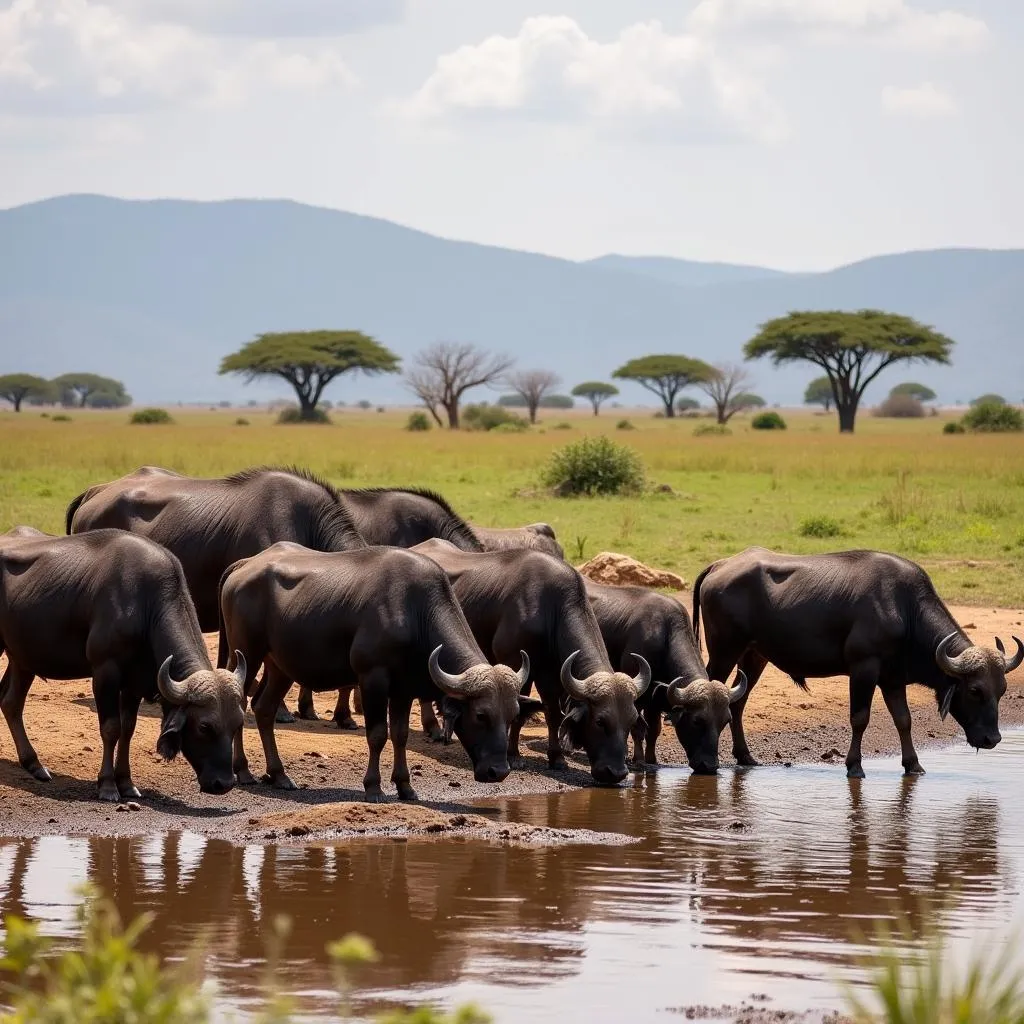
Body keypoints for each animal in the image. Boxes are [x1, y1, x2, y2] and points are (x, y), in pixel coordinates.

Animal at [0, 528, 245, 798]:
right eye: (204, 726)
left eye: (238, 723)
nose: (224, 783)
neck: (145, 605)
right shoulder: (105, 672)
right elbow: (110, 728)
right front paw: (107, 784)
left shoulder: (134, 682)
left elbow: (128, 728)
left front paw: (126, 782)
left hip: (21, 658)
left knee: (10, 703)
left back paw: (34, 764)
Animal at [217, 544, 536, 798]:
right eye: (481, 715)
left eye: (512, 715)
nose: (499, 771)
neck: (415, 613)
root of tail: (244, 565)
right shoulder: (373, 680)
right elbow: (378, 734)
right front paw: (373, 787)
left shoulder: (404, 690)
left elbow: (400, 734)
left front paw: (405, 786)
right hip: (247, 655)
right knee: (241, 702)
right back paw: (243, 771)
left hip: (280, 667)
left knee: (264, 709)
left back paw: (279, 775)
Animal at [409, 540, 643, 786]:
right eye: (600, 721)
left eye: (631, 721)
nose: (616, 772)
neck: (549, 608)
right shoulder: (514, 662)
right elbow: (519, 714)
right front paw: (513, 755)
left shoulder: (551, 674)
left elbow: (552, 714)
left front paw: (557, 758)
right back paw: (433, 729)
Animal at [589, 581, 749, 770]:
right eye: (697, 721)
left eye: (724, 722)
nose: (709, 766)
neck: (664, 636)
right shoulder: (636, 697)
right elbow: (638, 727)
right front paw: (639, 759)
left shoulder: (655, 700)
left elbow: (654, 730)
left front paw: (651, 758)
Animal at [692, 548, 1019, 778]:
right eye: (975, 690)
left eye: (1002, 690)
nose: (992, 738)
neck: (904, 609)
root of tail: (719, 565)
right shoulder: (864, 669)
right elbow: (860, 718)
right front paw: (854, 765)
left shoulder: (893, 679)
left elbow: (904, 720)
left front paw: (913, 764)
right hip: (724, 652)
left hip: (755, 656)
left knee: (738, 702)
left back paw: (745, 756)